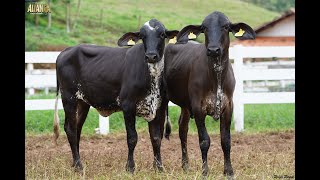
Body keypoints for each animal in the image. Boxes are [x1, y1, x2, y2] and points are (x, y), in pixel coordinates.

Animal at [52, 19, 178, 172]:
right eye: (142, 36)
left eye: (162, 34)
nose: (151, 56)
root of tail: (66, 51)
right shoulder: (128, 105)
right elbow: (132, 138)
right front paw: (130, 167)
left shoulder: (159, 106)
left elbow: (156, 137)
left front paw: (159, 167)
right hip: (68, 98)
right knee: (70, 129)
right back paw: (78, 165)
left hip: (82, 102)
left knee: (77, 128)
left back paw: (75, 163)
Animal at [164, 11, 254, 177]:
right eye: (204, 28)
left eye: (225, 27)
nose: (213, 50)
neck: (216, 75)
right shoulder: (198, 108)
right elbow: (204, 141)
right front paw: (205, 171)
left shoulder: (228, 106)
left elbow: (226, 140)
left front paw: (229, 171)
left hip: (185, 106)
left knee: (182, 129)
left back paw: (185, 165)